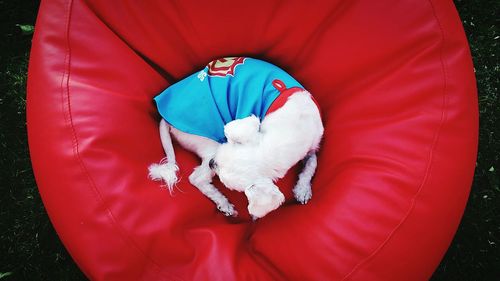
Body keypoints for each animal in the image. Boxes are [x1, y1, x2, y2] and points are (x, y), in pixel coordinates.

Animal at [147, 57, 324, 219]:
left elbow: (312, 163)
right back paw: (223, 202)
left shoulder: (313, 144)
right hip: (208, 143)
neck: (294, 127)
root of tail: (166, 118)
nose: (212, 163)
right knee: (196, 179)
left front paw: (303, 188)